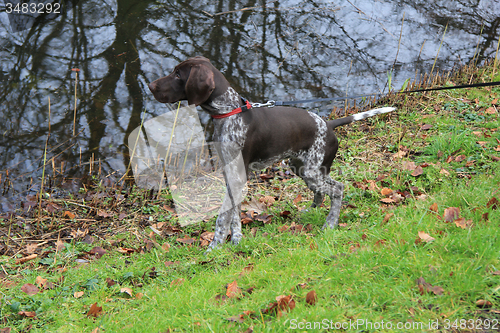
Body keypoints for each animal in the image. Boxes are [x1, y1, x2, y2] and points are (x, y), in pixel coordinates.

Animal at [148, 56, 394, 249]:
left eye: (178, 74)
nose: (150, 86)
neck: (228, 112)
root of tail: (329, 123)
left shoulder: (238, 176)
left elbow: (222, 218)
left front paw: (214, 248)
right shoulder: (231, 175)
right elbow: (233, 214)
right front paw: (235, 240)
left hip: (313, 171)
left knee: (338, 189)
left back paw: (330, 223)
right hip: (304, 169)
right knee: (323, 191)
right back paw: (311, 211)